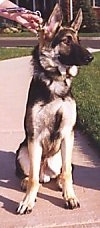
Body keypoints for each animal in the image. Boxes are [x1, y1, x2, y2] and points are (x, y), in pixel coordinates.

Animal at [15, 3, 93, 214]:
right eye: (66, 40)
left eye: (78, 40)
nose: (91, 57)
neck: (56, 81)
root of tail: (46, 170)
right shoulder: (34, 137)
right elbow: (34, 179)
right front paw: (28, 201)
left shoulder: (67, 134)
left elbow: (67, 174)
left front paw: (70, 196)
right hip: (23, 151)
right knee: (33, 174)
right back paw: (27, 181)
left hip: (62, 156)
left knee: (63, 171)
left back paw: (59, 183)